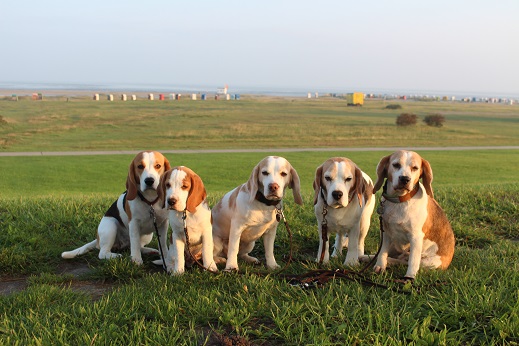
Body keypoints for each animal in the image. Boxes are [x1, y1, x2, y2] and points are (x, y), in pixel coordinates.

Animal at [374, 150, 456, 280]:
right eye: (396, 165)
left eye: (415, 168)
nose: (404, 179)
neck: (400, 201)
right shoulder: (386, 232)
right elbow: (382, 252)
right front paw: (380, 266)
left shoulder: (416, 238)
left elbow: (413, 261)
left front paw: (409, 278)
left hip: (429, 262)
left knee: (405, 261)